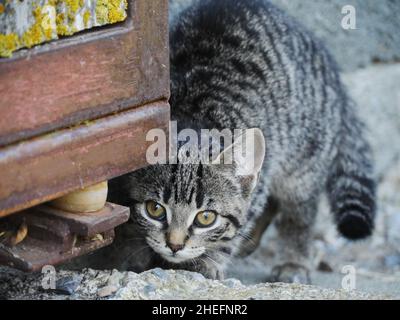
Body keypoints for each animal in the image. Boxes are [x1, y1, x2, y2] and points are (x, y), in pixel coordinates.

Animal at [108, 0, 374, 284]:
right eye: (155, 209)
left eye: (206, 218)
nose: (175, 245)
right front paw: (133, 251)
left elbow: (235, 230)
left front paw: (205, 262)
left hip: (304, 162)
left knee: (299, 213)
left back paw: (293, 259)